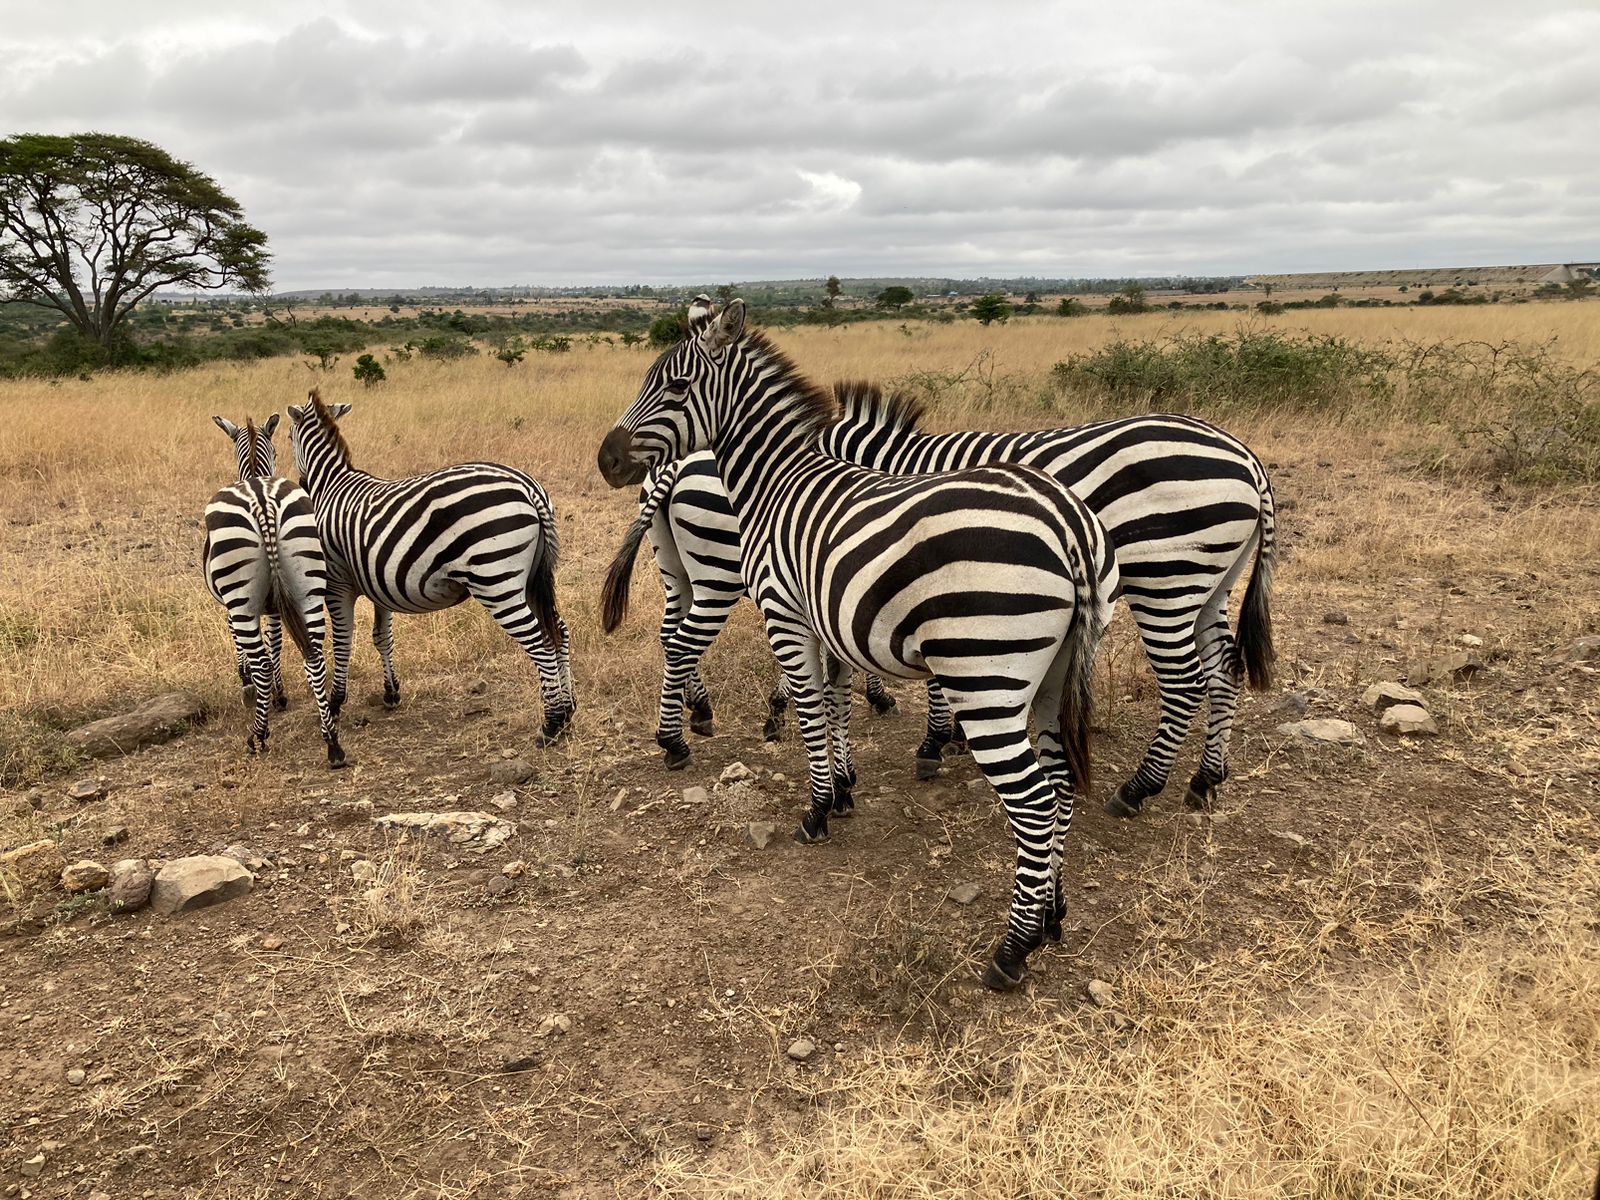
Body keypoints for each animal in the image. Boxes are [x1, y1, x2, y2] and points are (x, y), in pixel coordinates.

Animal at [203, 414, 345, 766]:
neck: (254, 475)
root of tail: (261, 499)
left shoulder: (234, 607)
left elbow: (246, 646)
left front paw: (247, 684)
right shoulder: (278, 606)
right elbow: (277, 642)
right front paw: (281, 695)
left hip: (240, 597)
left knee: (263, 663)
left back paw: (258, 734)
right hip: (308, 585)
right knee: (314, 655)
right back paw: (331, 739)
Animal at [284, 390, 576, 745]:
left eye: (288, 438)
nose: (300, 483)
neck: (332, 484)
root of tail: (529, 489)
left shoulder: (338, 582)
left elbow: (343, 641)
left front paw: (337, 701)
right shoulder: (377, 581)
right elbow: (382, 637)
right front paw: (391, 693)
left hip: (496, 581)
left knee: (540, 641)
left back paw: (551, 724)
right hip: (532, 577)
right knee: (558, 632)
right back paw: (569, 712)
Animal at [599, 451, 897, 769]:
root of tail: (674, 466)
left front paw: (777, 709)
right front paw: (878, 697)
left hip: (674, 569)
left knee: (669, 636)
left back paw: (699, 707)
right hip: (718, 578)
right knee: (683, 643)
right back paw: (674, 743)